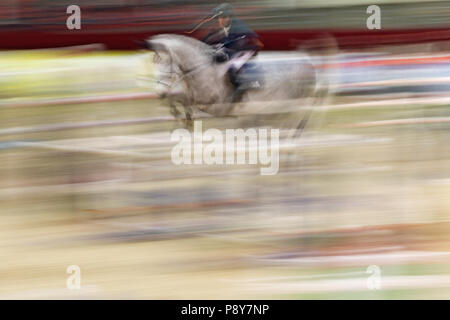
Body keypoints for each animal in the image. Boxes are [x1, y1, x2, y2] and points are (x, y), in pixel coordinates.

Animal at [146, 34, 332, 131]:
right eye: (154, 65)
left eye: (166, 65)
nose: (159, 92)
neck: (202, 65)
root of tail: (308, 61)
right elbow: (179, 97)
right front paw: (182, 117)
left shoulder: (213, 102)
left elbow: (183, 98)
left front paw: (183, 117)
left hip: (289, 104)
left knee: (291, 123)